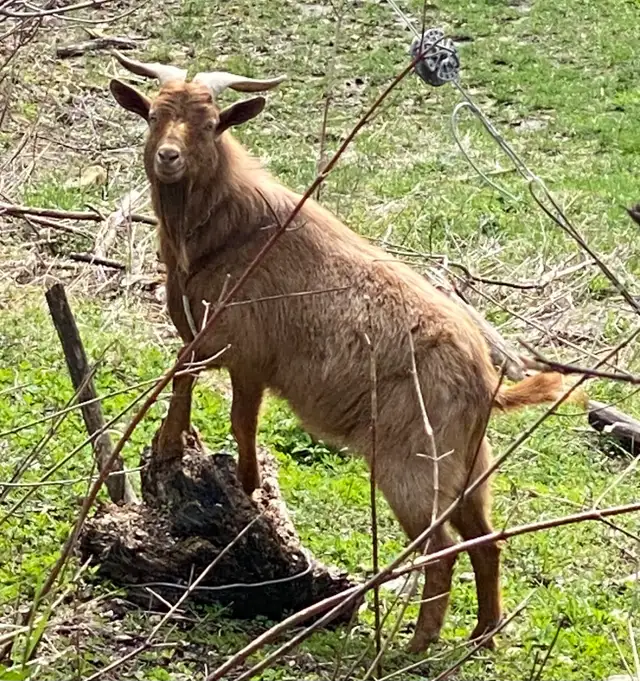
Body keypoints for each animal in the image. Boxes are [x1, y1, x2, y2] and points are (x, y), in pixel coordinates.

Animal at [108, 51, 574, 652]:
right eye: (153, 115)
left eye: (212, 124)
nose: (169, 157)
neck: (227, 231)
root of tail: (486, 381)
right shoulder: (236, 352)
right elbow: (226, 409)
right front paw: (239, 482)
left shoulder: (234, 343)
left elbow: (205, 391)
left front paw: (185, 454)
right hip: (470, 467)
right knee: (486, 541)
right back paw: (483, 634)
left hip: (413, 465)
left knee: (440, 550)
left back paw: (417, 645)